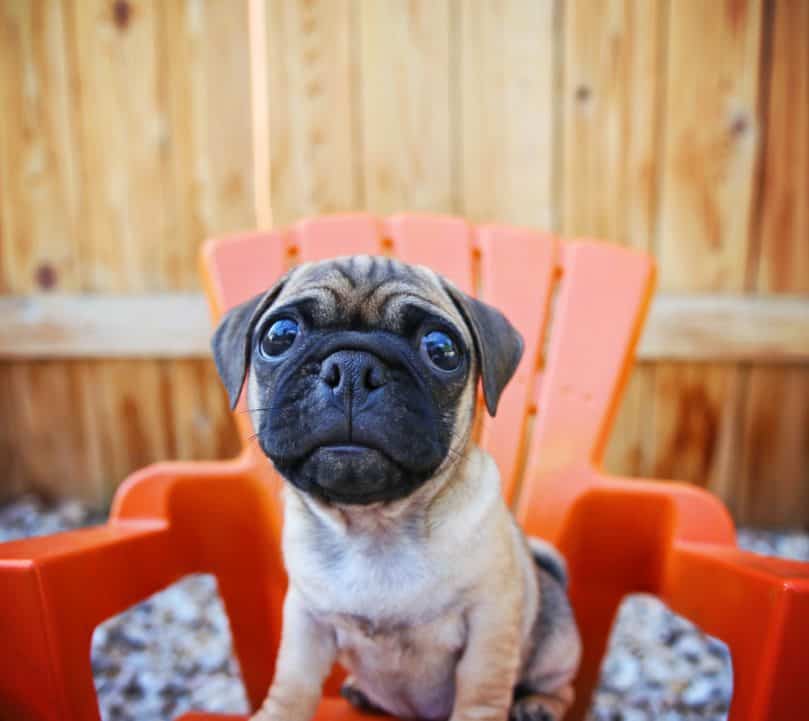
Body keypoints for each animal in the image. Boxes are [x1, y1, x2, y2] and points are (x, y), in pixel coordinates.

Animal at [211, 255, 576, 720]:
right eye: (280, 336)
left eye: (441, 349)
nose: (351, 368)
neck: (374, 527)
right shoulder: (306, 620)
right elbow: (292, 682)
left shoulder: (490, 624)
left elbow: (480, 693)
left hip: (555, 643)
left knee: (559, 685)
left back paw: (538, 704)